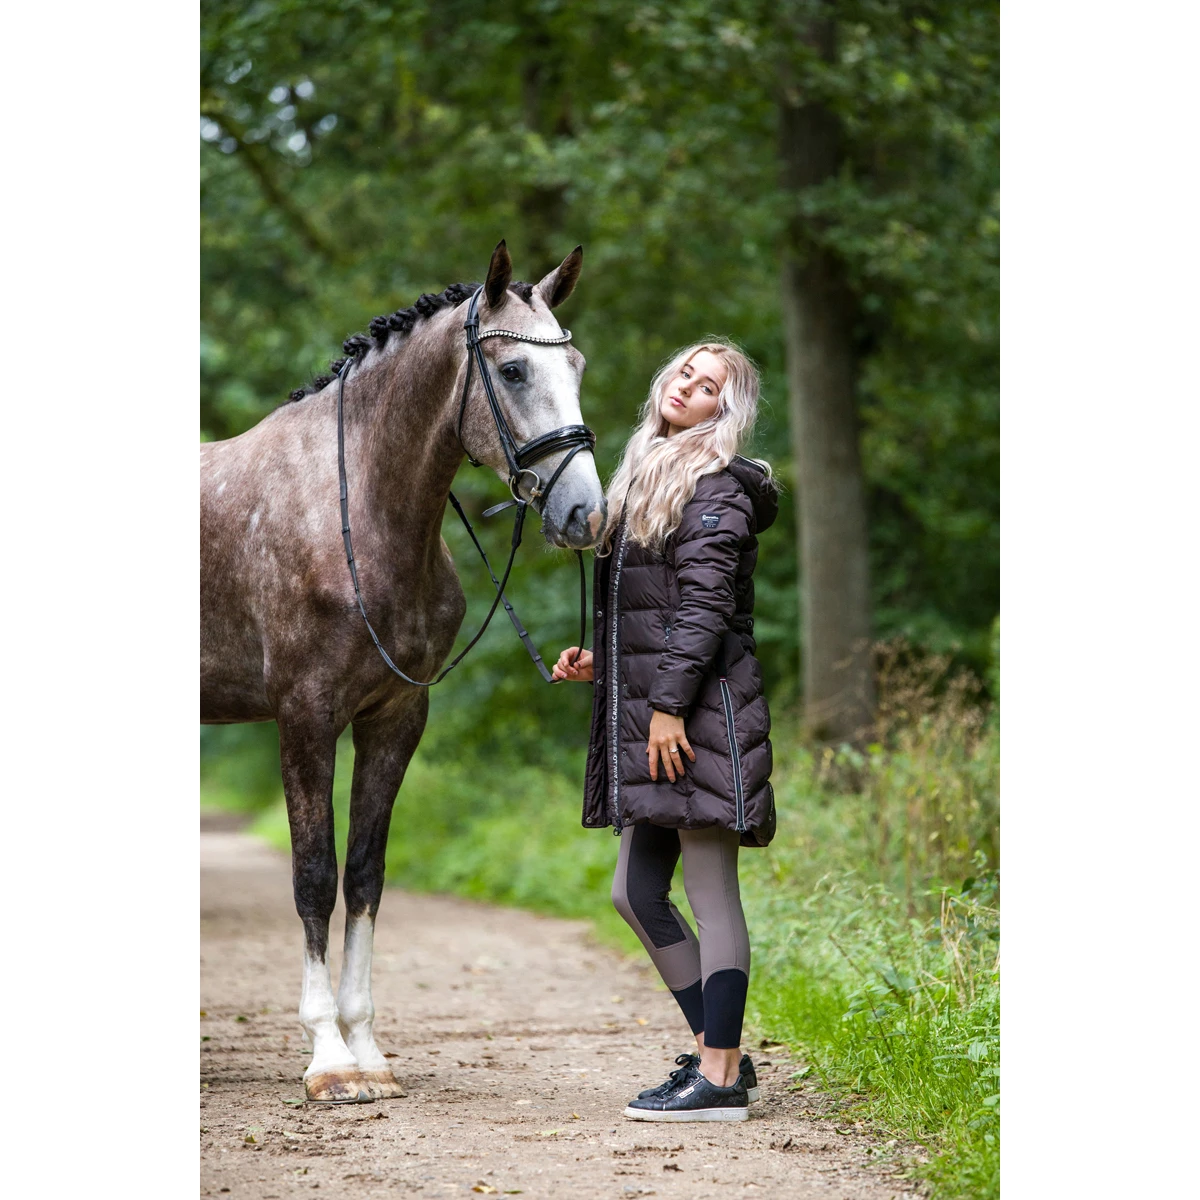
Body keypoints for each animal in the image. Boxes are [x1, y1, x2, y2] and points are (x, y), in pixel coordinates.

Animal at [200, 242, 607, 1102]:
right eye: (513, 370)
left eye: (577, 365)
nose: (586, 514)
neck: (355, 513)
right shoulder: (305, 716)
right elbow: (313, 875)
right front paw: (327, 1058)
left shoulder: (394, 718)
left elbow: (364, 875)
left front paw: (367, 1051)